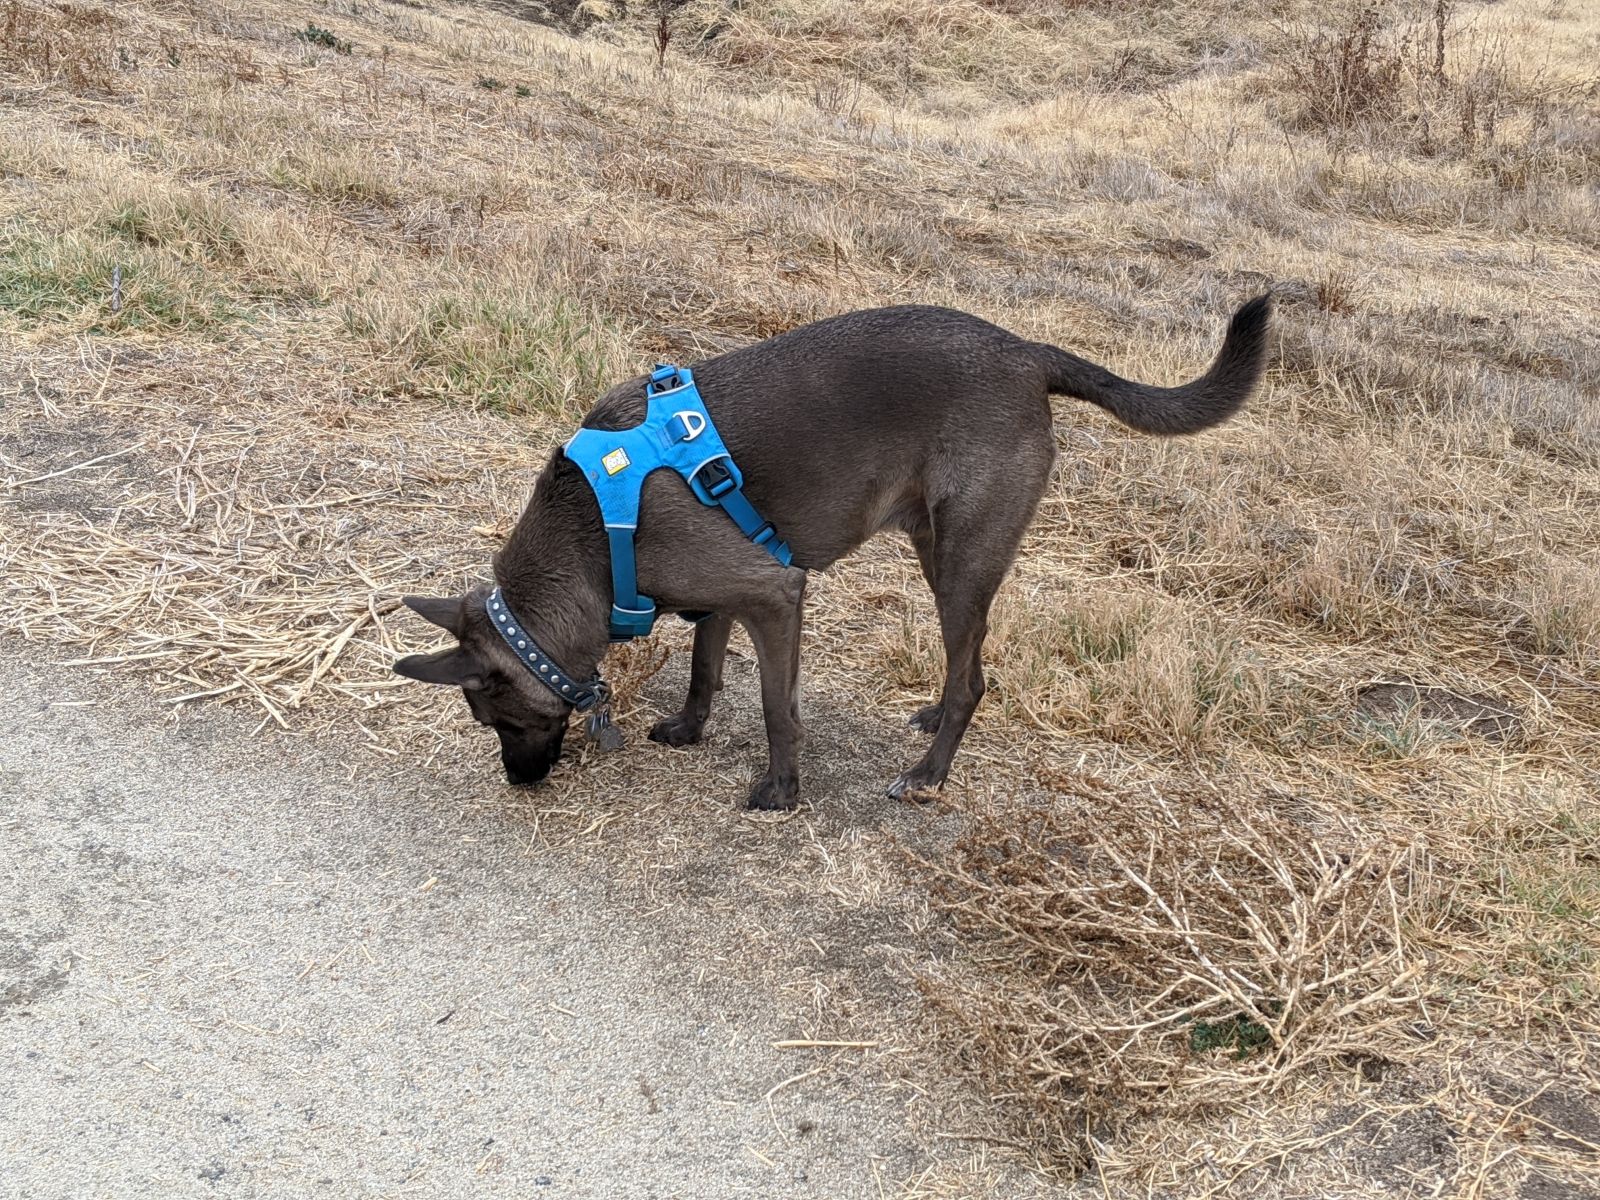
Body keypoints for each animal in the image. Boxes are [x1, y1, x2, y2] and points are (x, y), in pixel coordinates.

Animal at [393, 296, 1267, 812]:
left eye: (498, 718)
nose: (519, 783)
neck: (592, 526)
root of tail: (1025, 351)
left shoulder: (775, 593)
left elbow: (778, 708)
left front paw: (781, 788)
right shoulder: (725, 596)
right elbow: (705, 670)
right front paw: (690, 728)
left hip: (961, 559)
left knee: (974, 677)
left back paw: (929, 774)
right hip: (938, 548)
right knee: (967, 660)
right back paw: (931, 716)